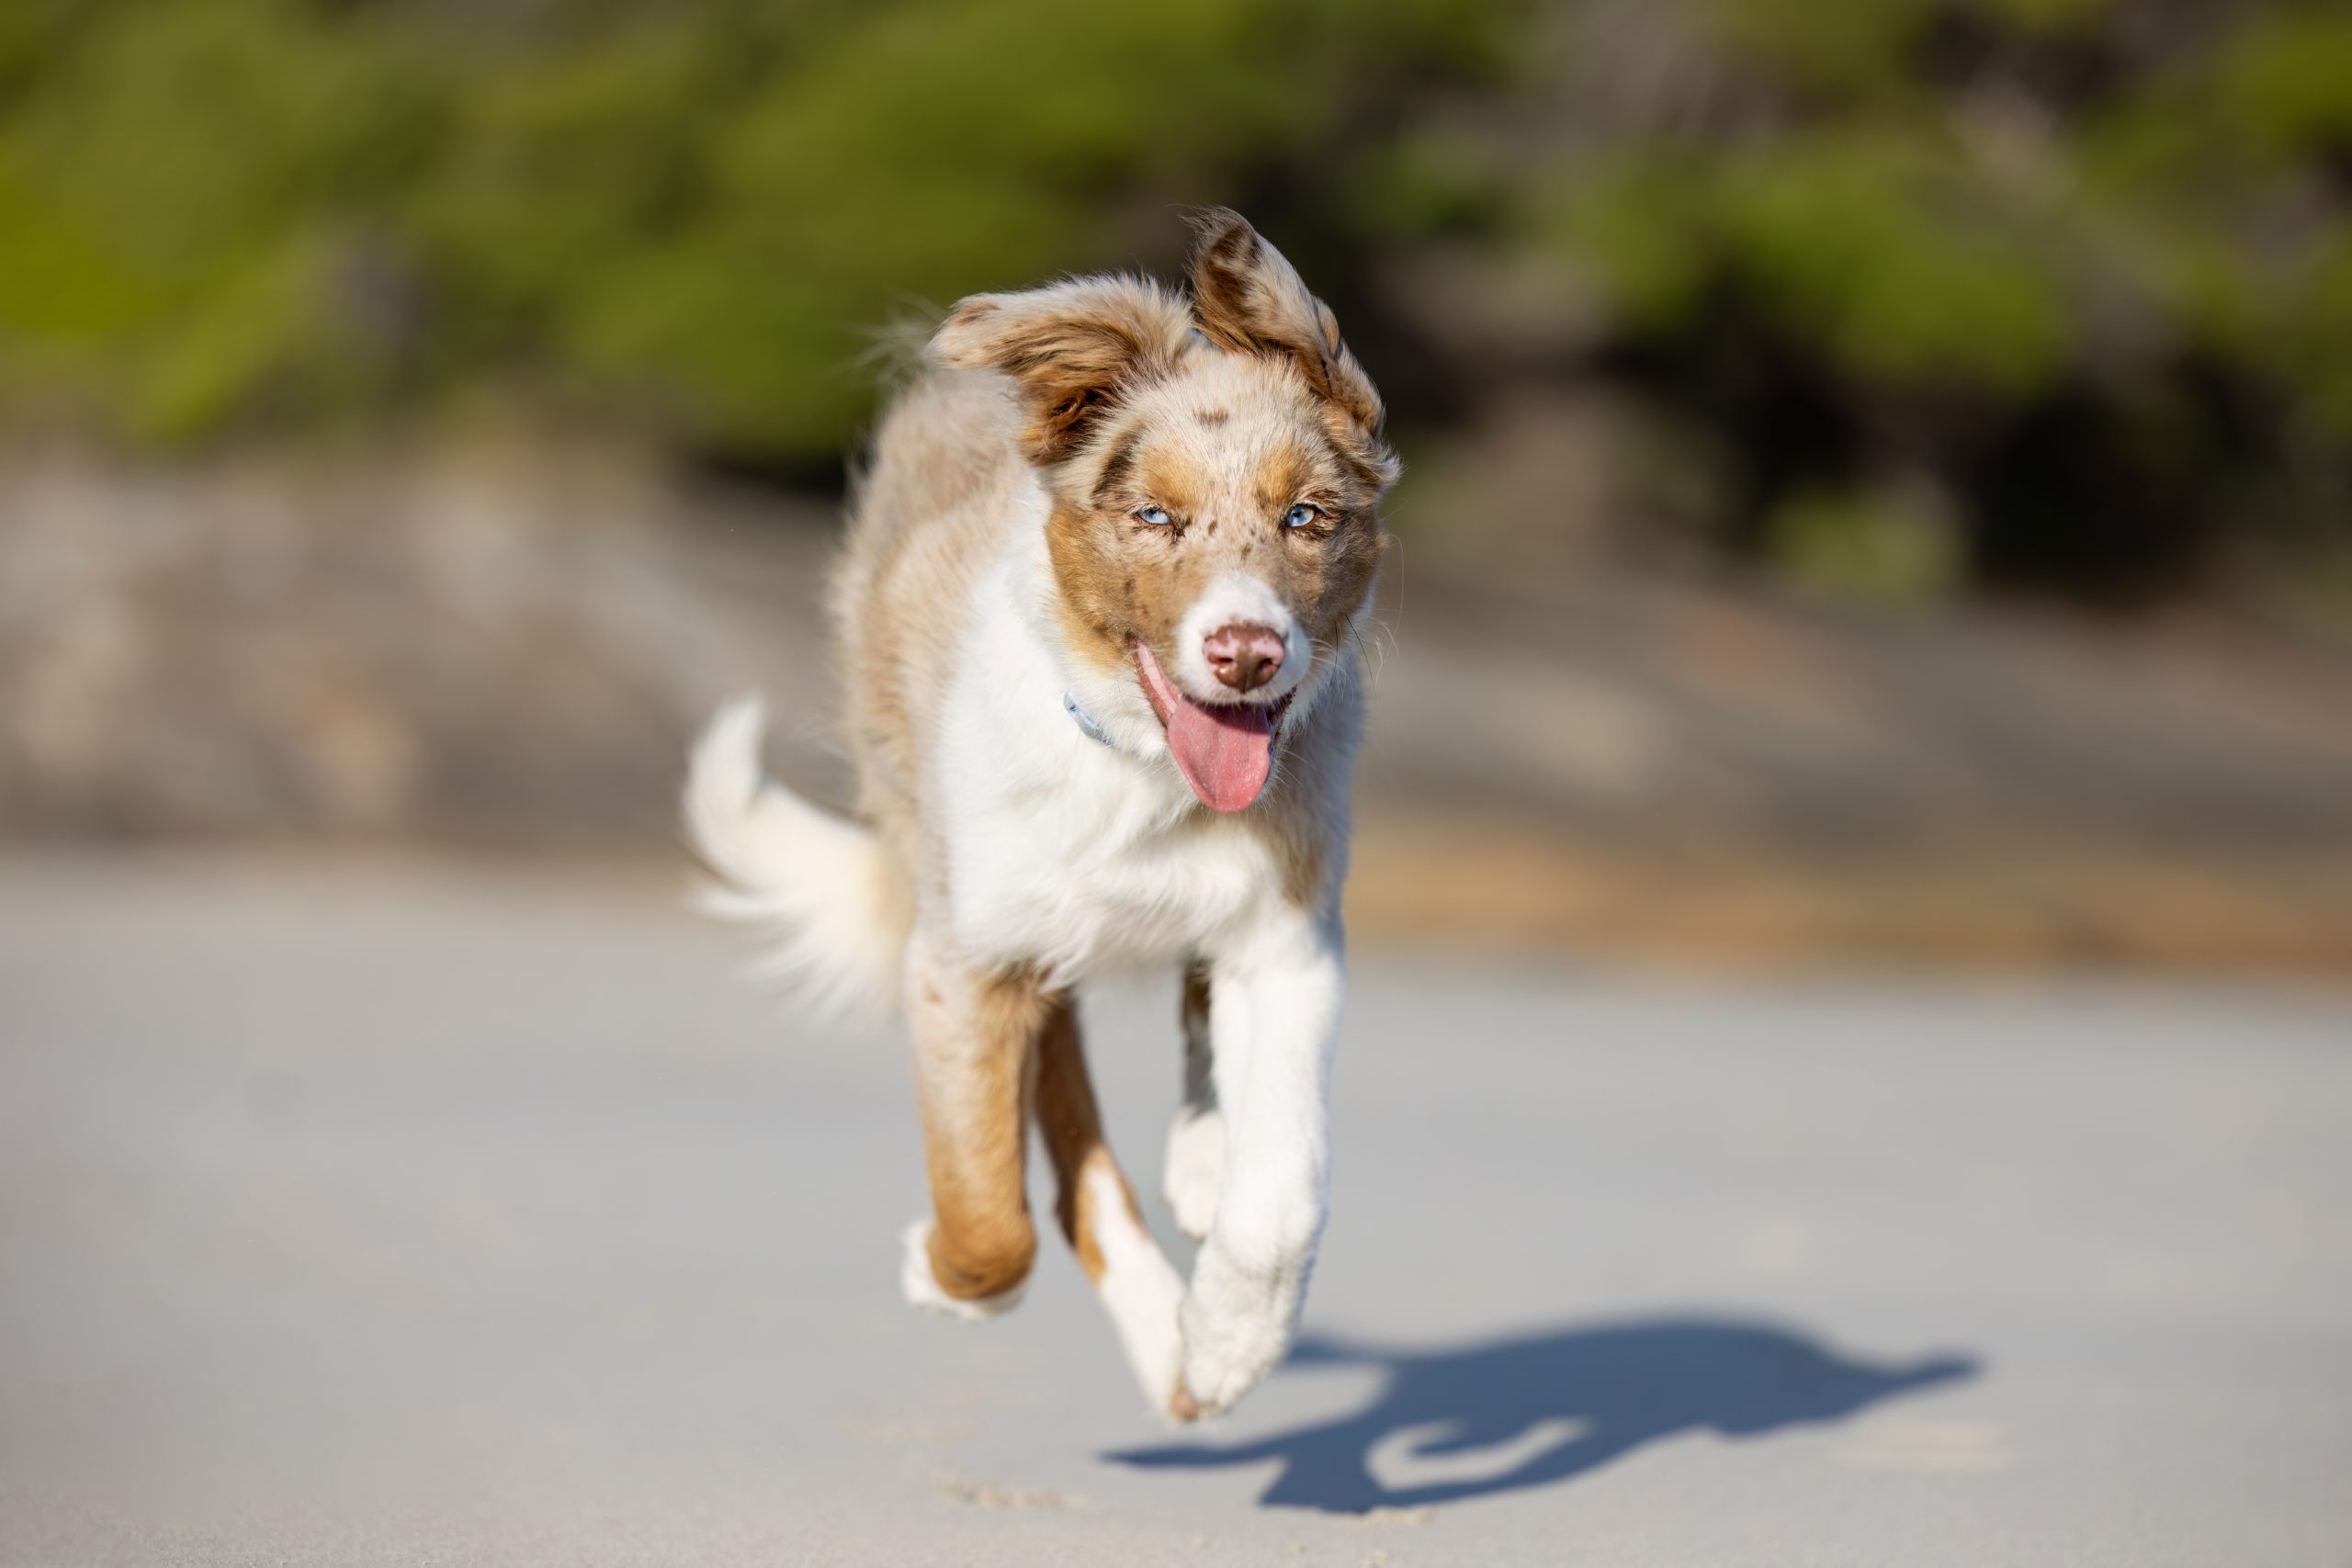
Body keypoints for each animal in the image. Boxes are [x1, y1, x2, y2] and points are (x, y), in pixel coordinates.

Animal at [686, 208, 1392, 1419]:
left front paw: (1230, 1340)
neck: (1144, 774)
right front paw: (947, 1279)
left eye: (1306, 518)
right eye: (1154, 517)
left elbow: (1281, 1198)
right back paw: (1155, 1318)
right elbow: (991, 1214)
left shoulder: (1289, 933)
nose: (1247, 654)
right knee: (1077, 1174)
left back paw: (1196, 1198)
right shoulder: (969, 957)